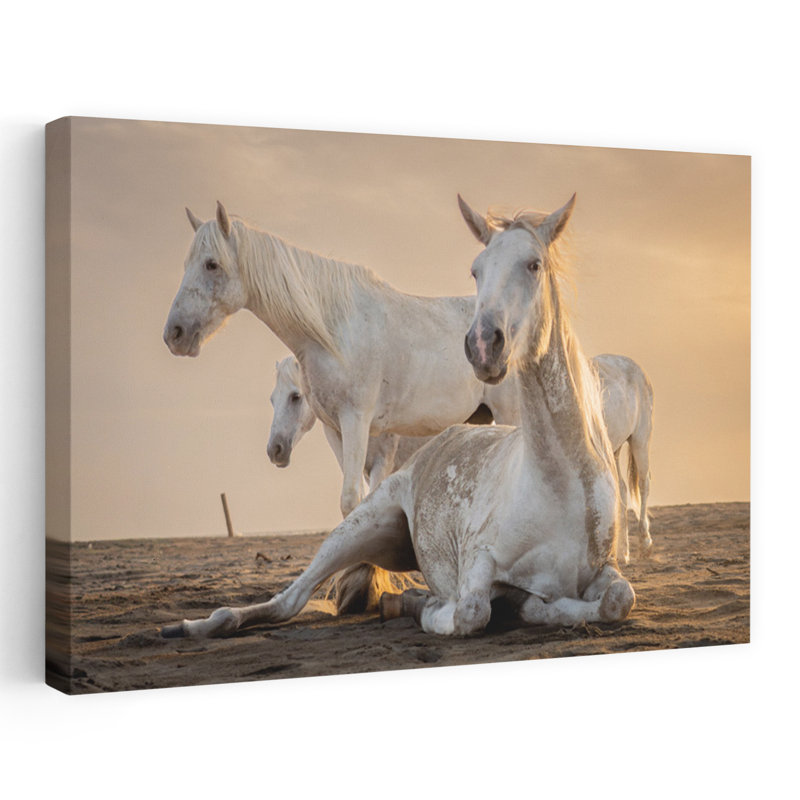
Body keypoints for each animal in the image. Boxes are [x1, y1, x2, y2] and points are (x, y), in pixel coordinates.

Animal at [161, 194, 636, 639]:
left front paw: (362, 588)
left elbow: (350, 497)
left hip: (506, 411)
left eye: (211, 264)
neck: (334, 329)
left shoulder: (358, 418)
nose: (174, 334)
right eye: (276, 398)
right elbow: (350, 498)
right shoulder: (336, 427)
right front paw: (364, 587)